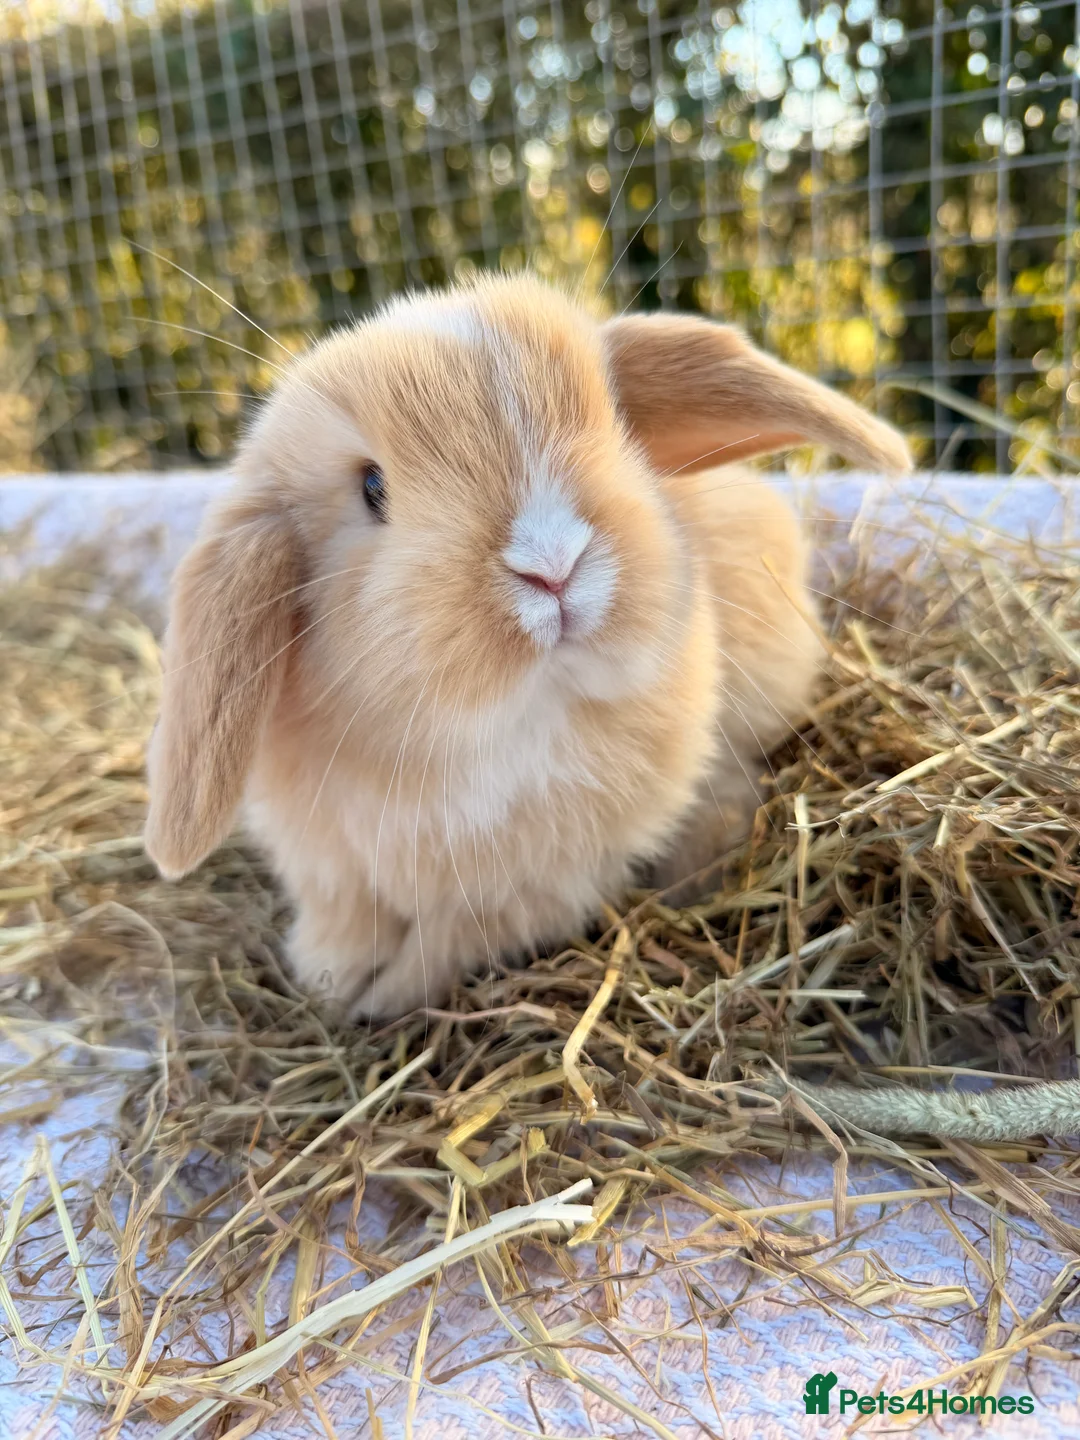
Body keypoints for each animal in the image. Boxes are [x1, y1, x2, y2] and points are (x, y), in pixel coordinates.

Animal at [144, 274, 910, 1020]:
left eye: (617, 425)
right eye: (372, 486)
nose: (554, 563)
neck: (502, 731)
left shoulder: (536, 889)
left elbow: (448, 944)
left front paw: (378, 1000)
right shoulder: (334, 867)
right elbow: (350, 923)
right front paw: (331, 980)